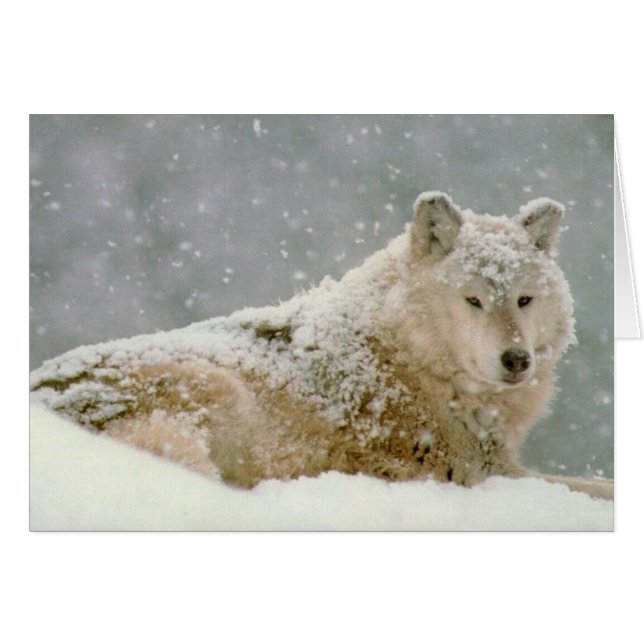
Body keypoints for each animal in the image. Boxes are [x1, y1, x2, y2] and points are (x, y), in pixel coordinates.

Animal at [30, 191, 613, 500]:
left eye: (523, 300)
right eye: (473, 300)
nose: (517, 360)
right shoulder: (479, 473)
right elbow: (592, 484)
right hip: (214, 387)